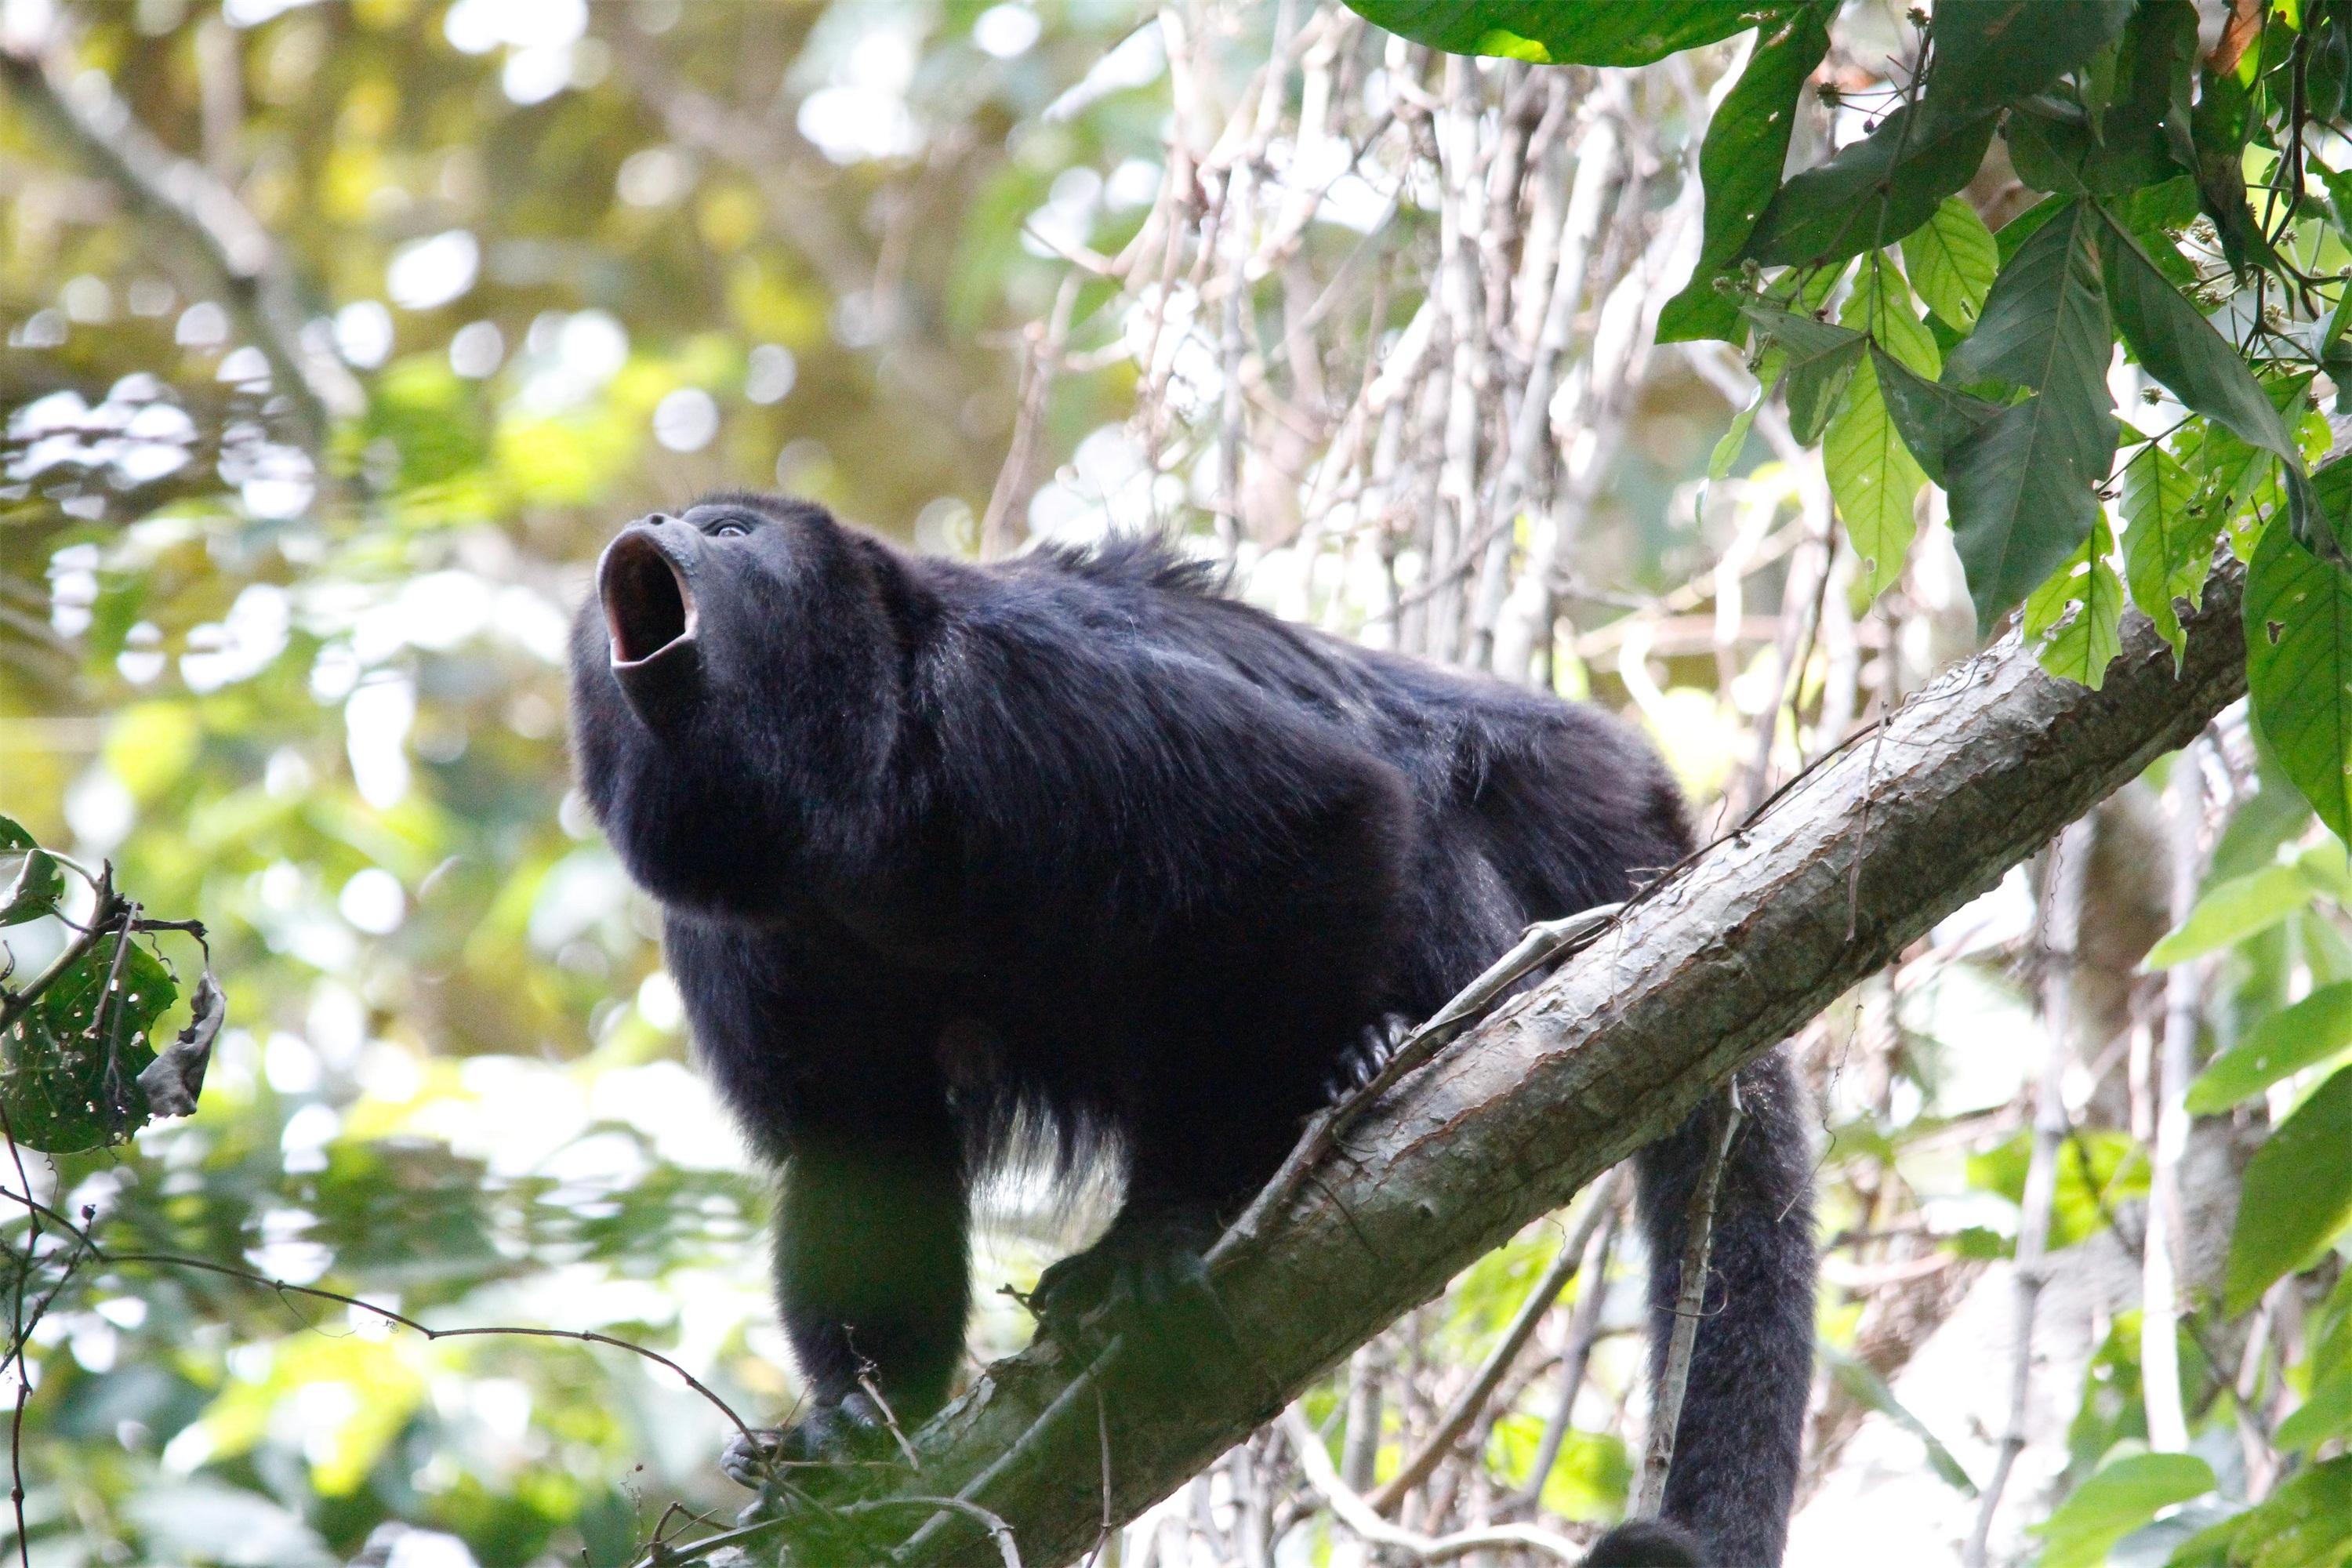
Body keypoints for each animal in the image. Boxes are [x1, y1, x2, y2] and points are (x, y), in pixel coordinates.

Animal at [569, 493, 1816, 1568]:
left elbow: (1323, 819)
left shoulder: (1025, 693)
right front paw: (855, 1427)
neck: (850, 799)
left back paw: (1382, 1048)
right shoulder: (730, 931)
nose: (659, 521)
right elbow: (861, 1151)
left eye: (732, 532)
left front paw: (1163, 1227)